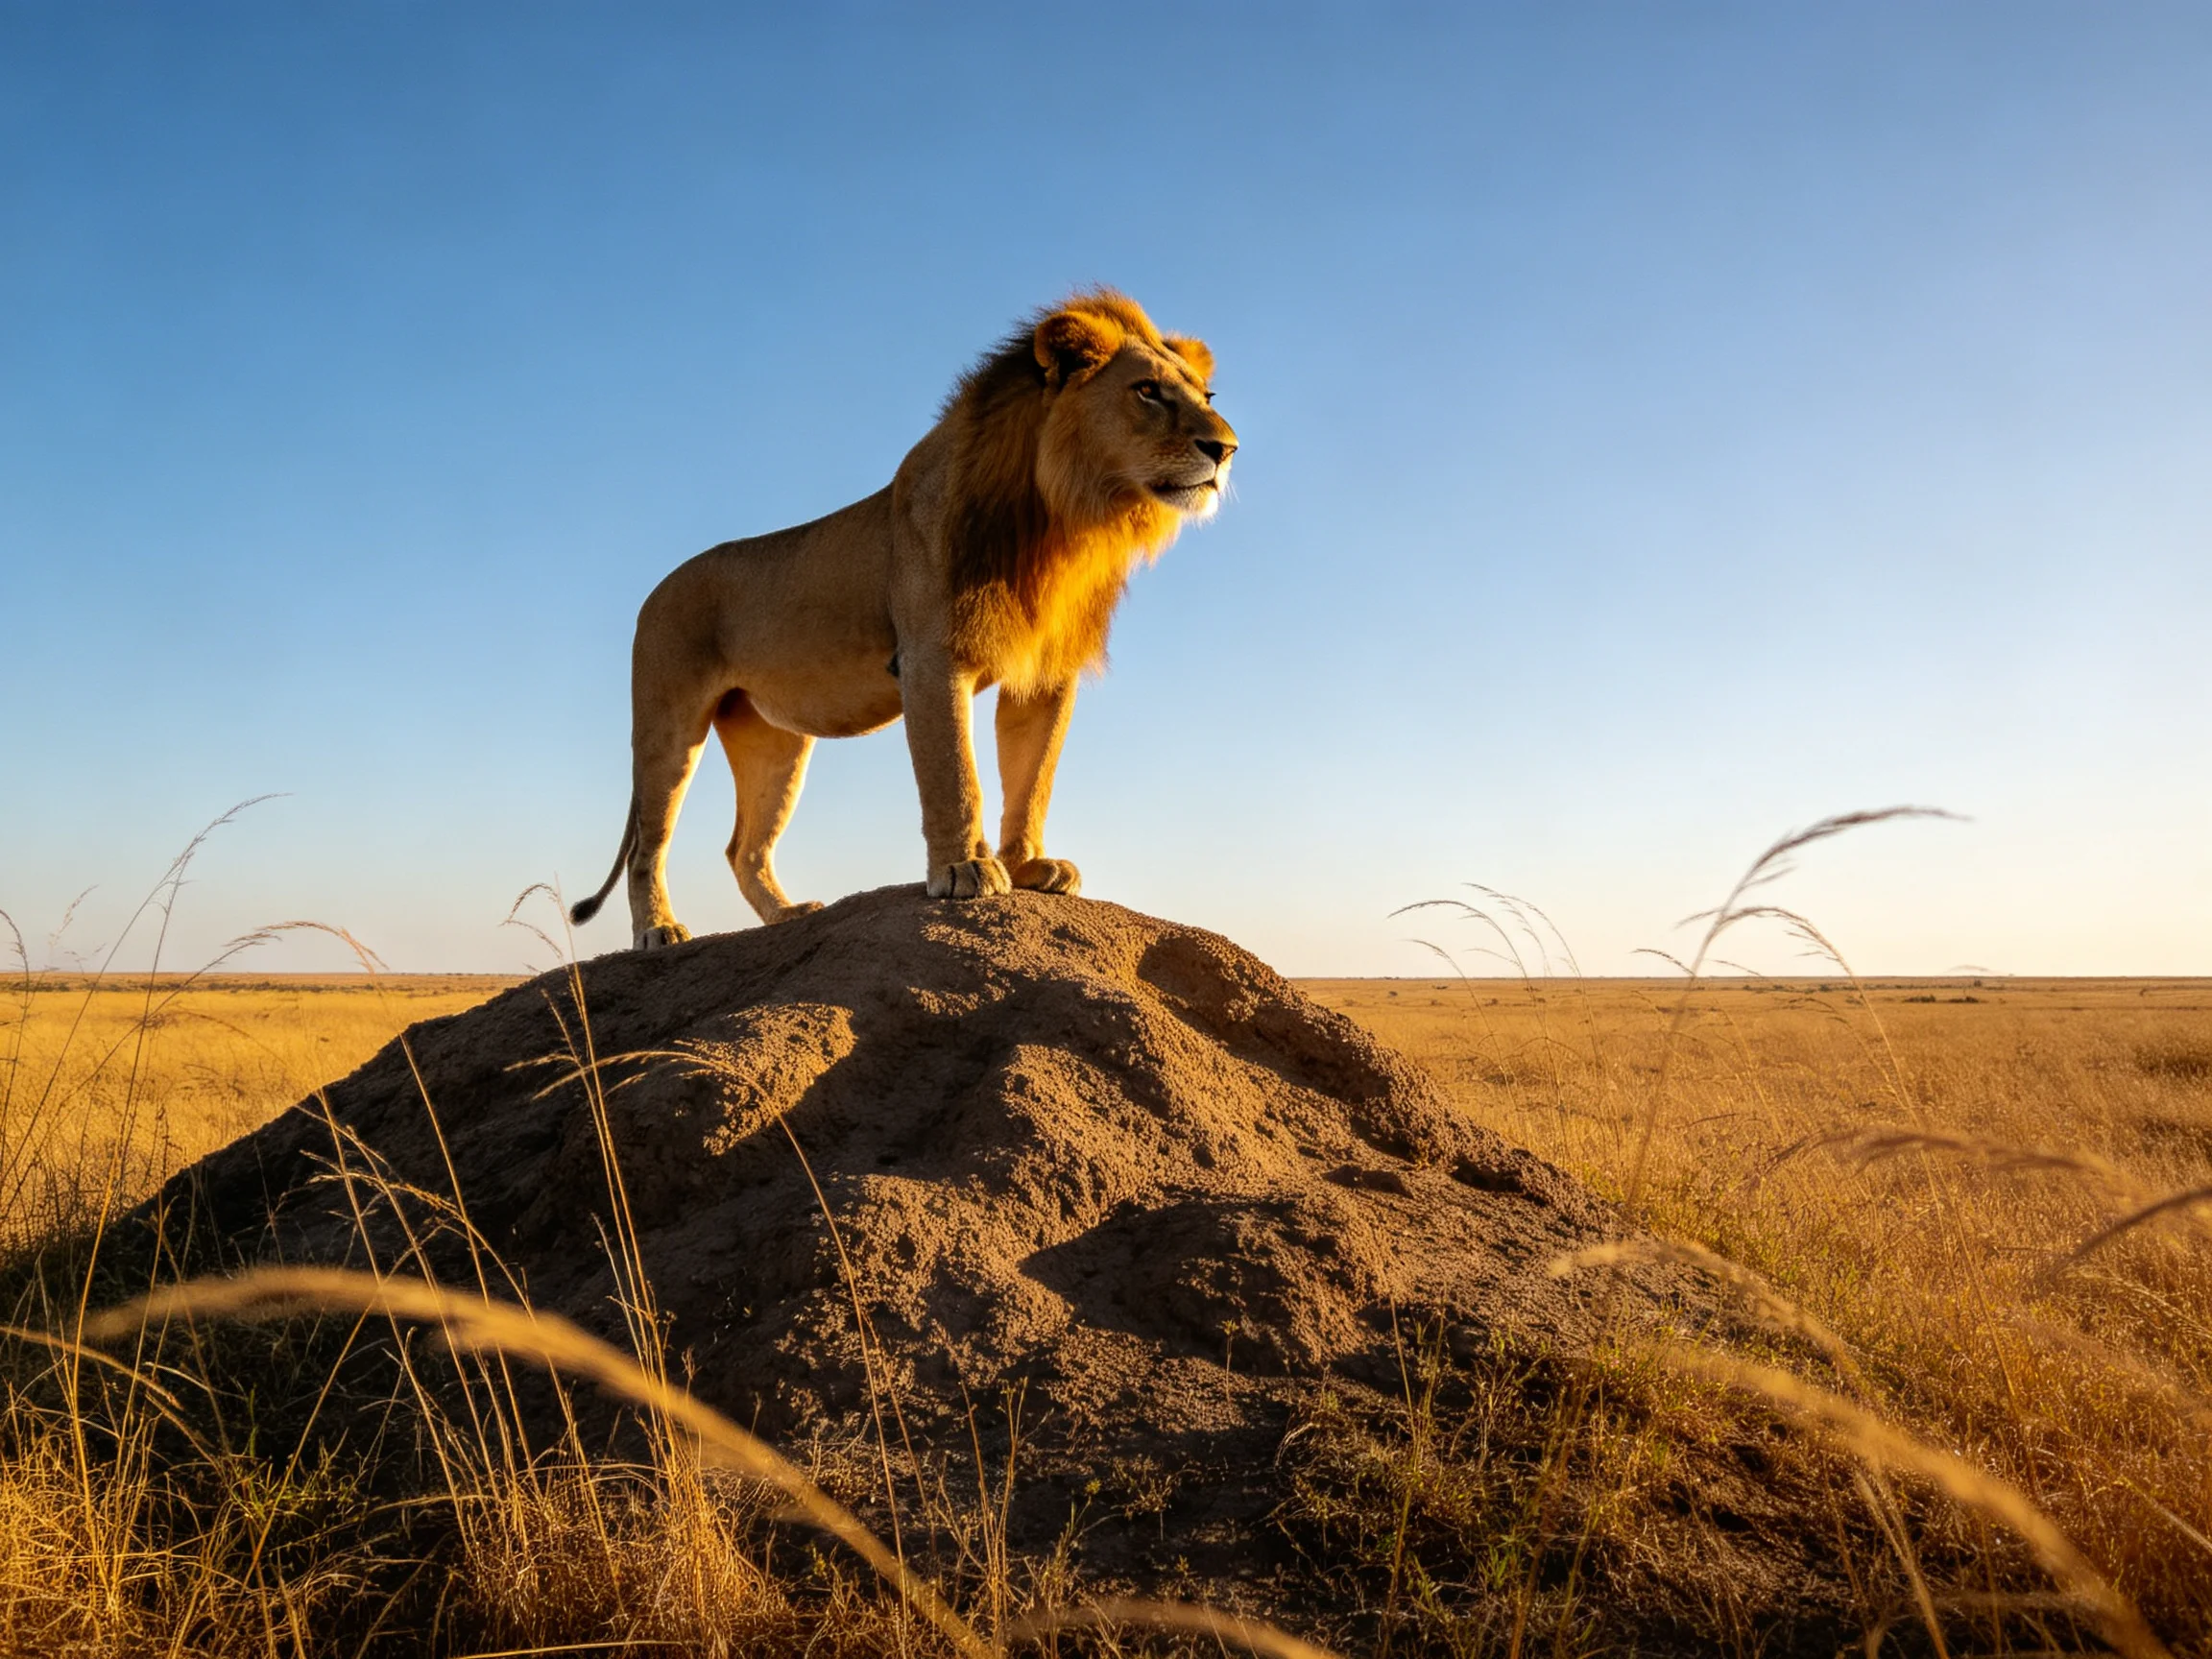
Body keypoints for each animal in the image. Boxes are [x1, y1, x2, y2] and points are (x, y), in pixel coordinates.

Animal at [569, 290, 1238, 949]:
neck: (1063, 519)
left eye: (1206, 398)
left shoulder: (1047, 673)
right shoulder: (930, 657)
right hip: (669, 726)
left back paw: (789, 916)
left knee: (744, 848)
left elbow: (1032, 779)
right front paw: (965, 869)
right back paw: (658, 931)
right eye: (1147, 391)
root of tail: (655, 590)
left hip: (774, 743)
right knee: (649, 847)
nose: (1226, 449)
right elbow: (955, 773)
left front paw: (1027, 866)